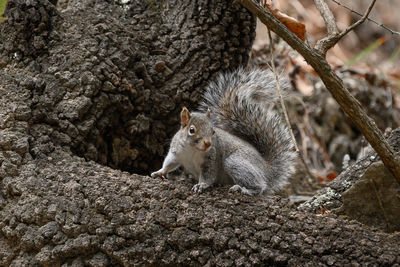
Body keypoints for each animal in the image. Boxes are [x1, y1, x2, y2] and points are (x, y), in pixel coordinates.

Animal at [150, 67, 296, 197]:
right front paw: (159, 172)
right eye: (191, 130)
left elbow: (208, 175)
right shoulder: (176, 152)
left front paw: (201, 185)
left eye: (213, 131)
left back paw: (243, 189)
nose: (208, 143)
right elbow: (169, 163)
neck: (193, 150)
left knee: (260, 186)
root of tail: (268, 170)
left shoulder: (212, 158)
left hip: (235, 162)